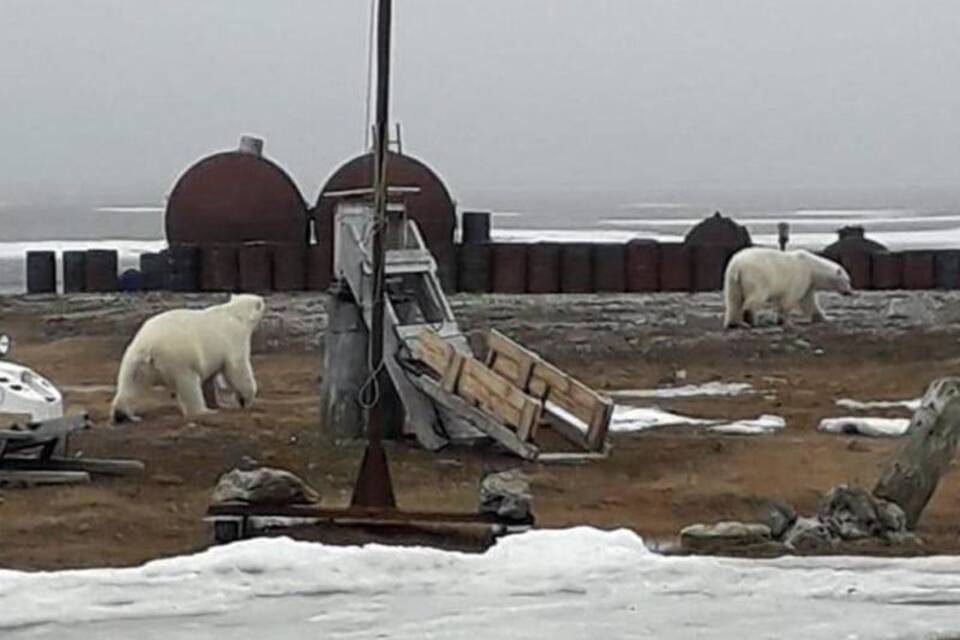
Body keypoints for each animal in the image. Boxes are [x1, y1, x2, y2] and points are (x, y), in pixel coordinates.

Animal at [110, 292, 264, 422]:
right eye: (261, 302)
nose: (264, 300)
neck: (236, 314)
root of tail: (148, 346)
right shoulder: (234, 338)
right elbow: (237, 368)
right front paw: (244, 399)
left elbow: (210, 377)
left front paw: (216, 402)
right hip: (178, 358)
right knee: (188, 384)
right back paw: (203, 411)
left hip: (134, 360)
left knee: (131, 383)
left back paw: (122, 414)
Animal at [720, 248, 856, 330]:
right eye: (847, 281)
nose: (849, 292)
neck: (812, 267)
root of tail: (737, 266)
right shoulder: (800, 277)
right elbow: (790, 298)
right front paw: (787, 322)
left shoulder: (808, 282)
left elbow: (808, 302)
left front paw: (825, 318)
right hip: (757, 277)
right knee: (756, 296)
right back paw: (751, 321)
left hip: (731, 279)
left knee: (733, 299)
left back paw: (734, 323)